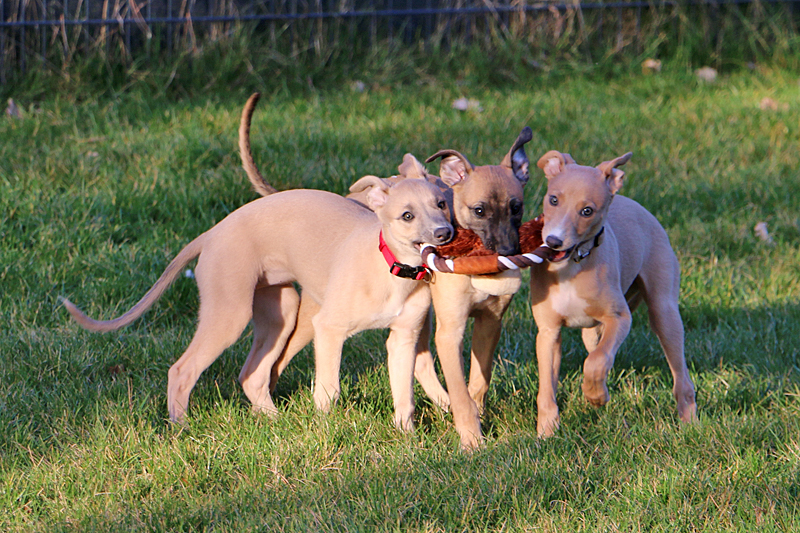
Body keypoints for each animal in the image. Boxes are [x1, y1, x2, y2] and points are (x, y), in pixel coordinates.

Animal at [59, 177, 454, 430]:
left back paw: (275, 422)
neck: (390, 268)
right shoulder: (328, 329)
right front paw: (325, 429)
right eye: (406, 215)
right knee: (182, 370)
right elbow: (328, 390)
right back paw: (181, 428)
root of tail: (212, 232)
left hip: (281, 311)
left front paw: (406, 437)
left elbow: (404, 394)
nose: (444, 233)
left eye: (441, 204)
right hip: (230, 314)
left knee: (252, 375)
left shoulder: (402, 337)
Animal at [241, 93, 536, 446]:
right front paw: (471, 439)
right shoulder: (450, 329)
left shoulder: (490, 323)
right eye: (479, 210)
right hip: (312, 317)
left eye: (517, 208)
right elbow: (461, 387)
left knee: (418, 362)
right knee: (280, 357)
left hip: (417, 318)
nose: (507, 252)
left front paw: (473, 419)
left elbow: (477, 382)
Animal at [528, 150, 696, 436]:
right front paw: (547, 432)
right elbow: (547, 388)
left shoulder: (619, 318)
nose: (553, 241)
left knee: (681, 375)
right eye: (553, 199)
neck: (572, 265)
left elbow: (596, 361)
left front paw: (596, 395)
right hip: (593, 330)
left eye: (587, 210)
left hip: (664, 311)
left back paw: (689, 422)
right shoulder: (548, 332)